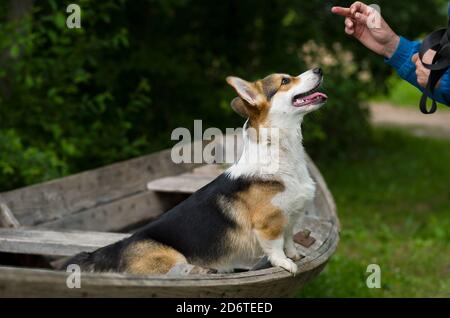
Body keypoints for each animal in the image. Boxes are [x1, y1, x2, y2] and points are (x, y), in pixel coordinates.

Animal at [65, 68, 326, 274]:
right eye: (285, 80)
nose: (319, 68)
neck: (282, 151)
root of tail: (119, 247)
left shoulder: (291, 217)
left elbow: (289, 240)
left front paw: (295, 255)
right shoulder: (268, 225)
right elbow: (276, 247)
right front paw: (286, 263)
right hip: (173, 258)